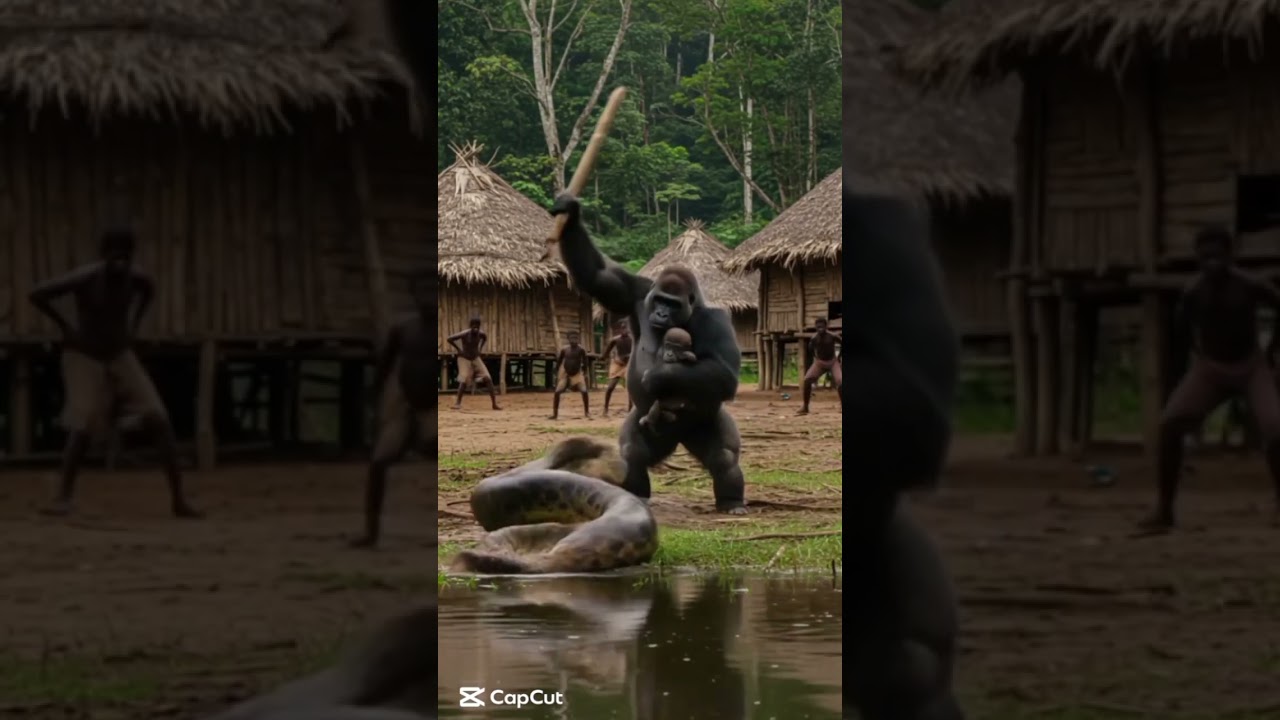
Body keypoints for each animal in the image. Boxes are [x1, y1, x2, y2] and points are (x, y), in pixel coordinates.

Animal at [549, 193, 747, 514]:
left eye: (673, 304)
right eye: (660, 300)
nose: (662, 313)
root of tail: (678, 439)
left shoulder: (718, 319)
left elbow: (725, 374)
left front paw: (659, 376)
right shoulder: (637, 290)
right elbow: (595, 276)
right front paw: (570, 212)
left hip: (700, 425)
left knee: (724, 457)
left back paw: (731, 502)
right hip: (648, 425)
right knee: (633, 453)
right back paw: (637, 494)